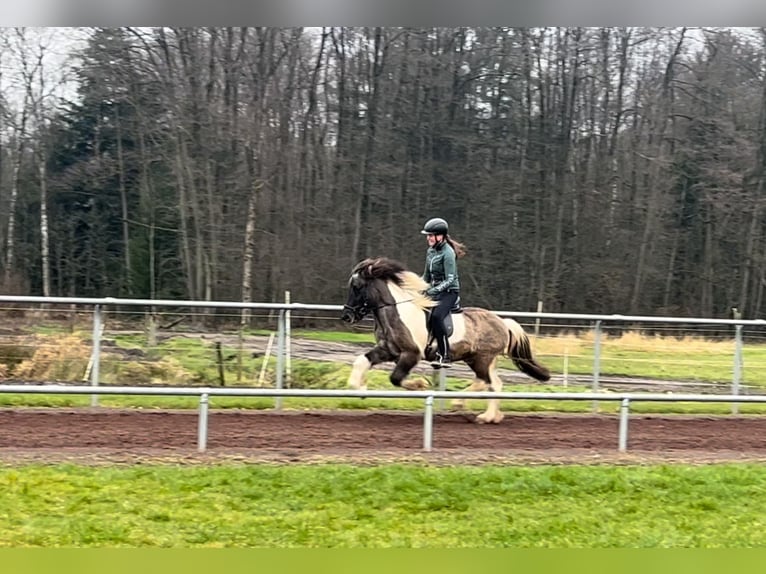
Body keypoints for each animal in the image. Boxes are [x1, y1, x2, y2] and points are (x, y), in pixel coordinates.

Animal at [342, 258, 552, 426]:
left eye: (357, 287)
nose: (346, 316)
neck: (398, 312)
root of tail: (502, 322)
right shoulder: (387, 350)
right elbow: (361, 362)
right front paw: (361, 389)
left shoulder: (411, 353)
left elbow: (396, 378)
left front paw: (421, 385)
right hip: (484, 360)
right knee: (495, 384)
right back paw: (489, 417)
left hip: (481, 358)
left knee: (484, 381)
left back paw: (462, 405)